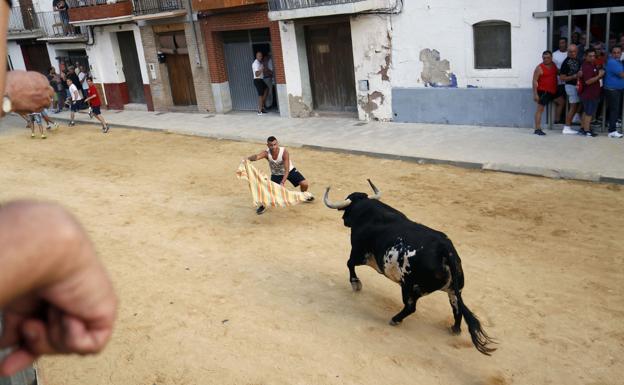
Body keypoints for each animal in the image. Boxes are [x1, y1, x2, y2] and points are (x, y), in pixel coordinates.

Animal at [324, 179, 494, 354]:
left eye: (347, 208)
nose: (344, 219)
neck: (366, 211)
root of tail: (445, 249)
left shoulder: (358, 253)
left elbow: (349, 263)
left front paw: (356, 284)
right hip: (454, 290)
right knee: (457, 308)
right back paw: (454, 329)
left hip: (409, 287)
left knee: (411, 307)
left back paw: (395, 319)